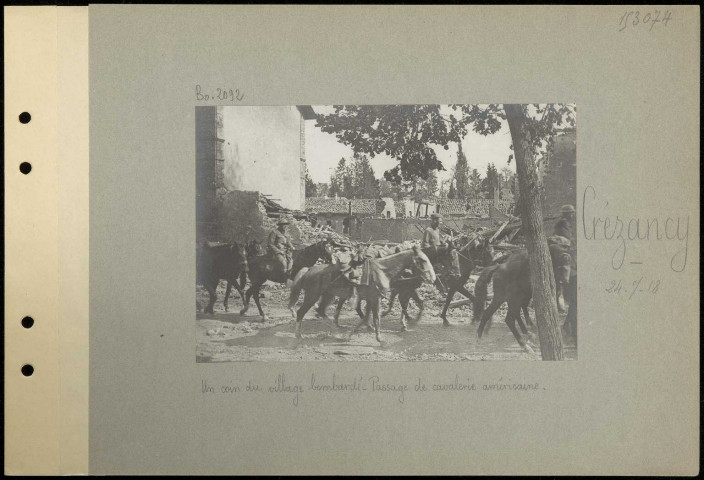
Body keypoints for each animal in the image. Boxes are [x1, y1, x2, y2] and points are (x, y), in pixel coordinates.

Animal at [292, 246, 434, 344]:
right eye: (422, 260)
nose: (432, 278)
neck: (382, 271)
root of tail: (309, 269)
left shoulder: (374, 298)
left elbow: (366, 317)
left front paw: (351, 334)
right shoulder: (377, 298)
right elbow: (375, 318)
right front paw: (380, 339)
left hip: (329, 295)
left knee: (321, 311)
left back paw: (337, 331)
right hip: (312, 296)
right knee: (301, 312)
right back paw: (299, 335)